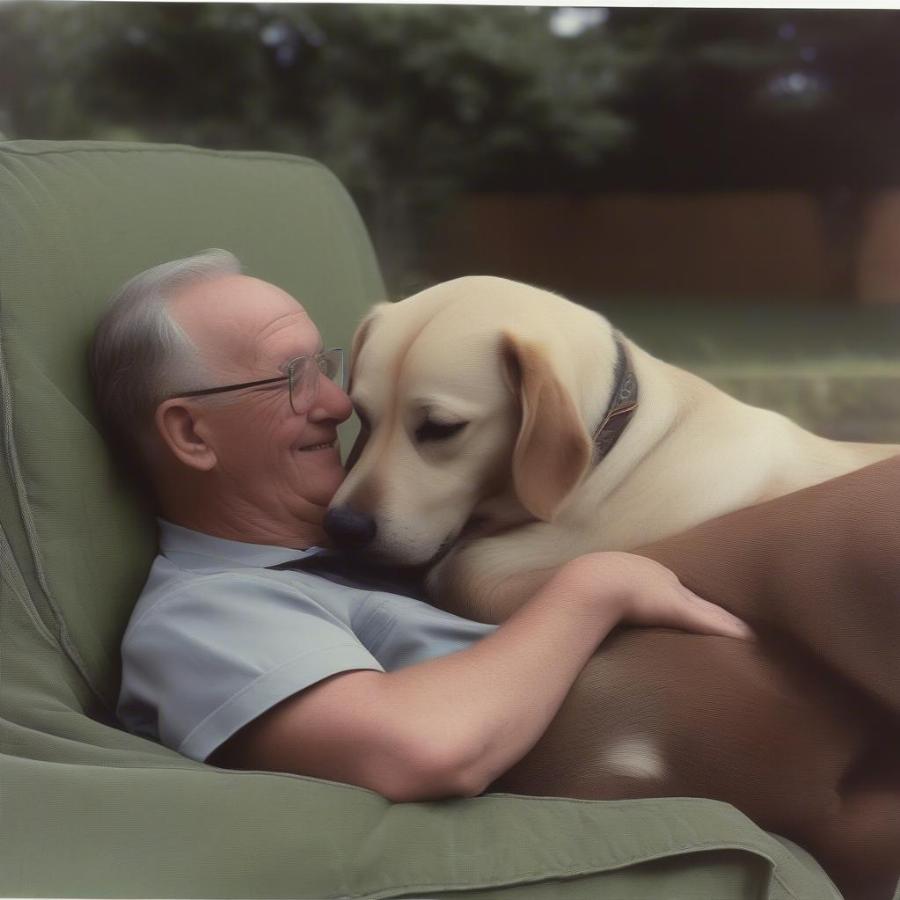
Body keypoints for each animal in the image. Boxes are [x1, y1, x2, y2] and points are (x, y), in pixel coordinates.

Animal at [328, 276, 900, 624]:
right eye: (363, 417)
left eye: (441, 429)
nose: (344, 527)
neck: (611, 455)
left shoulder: (484, 565)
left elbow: (464, 573)